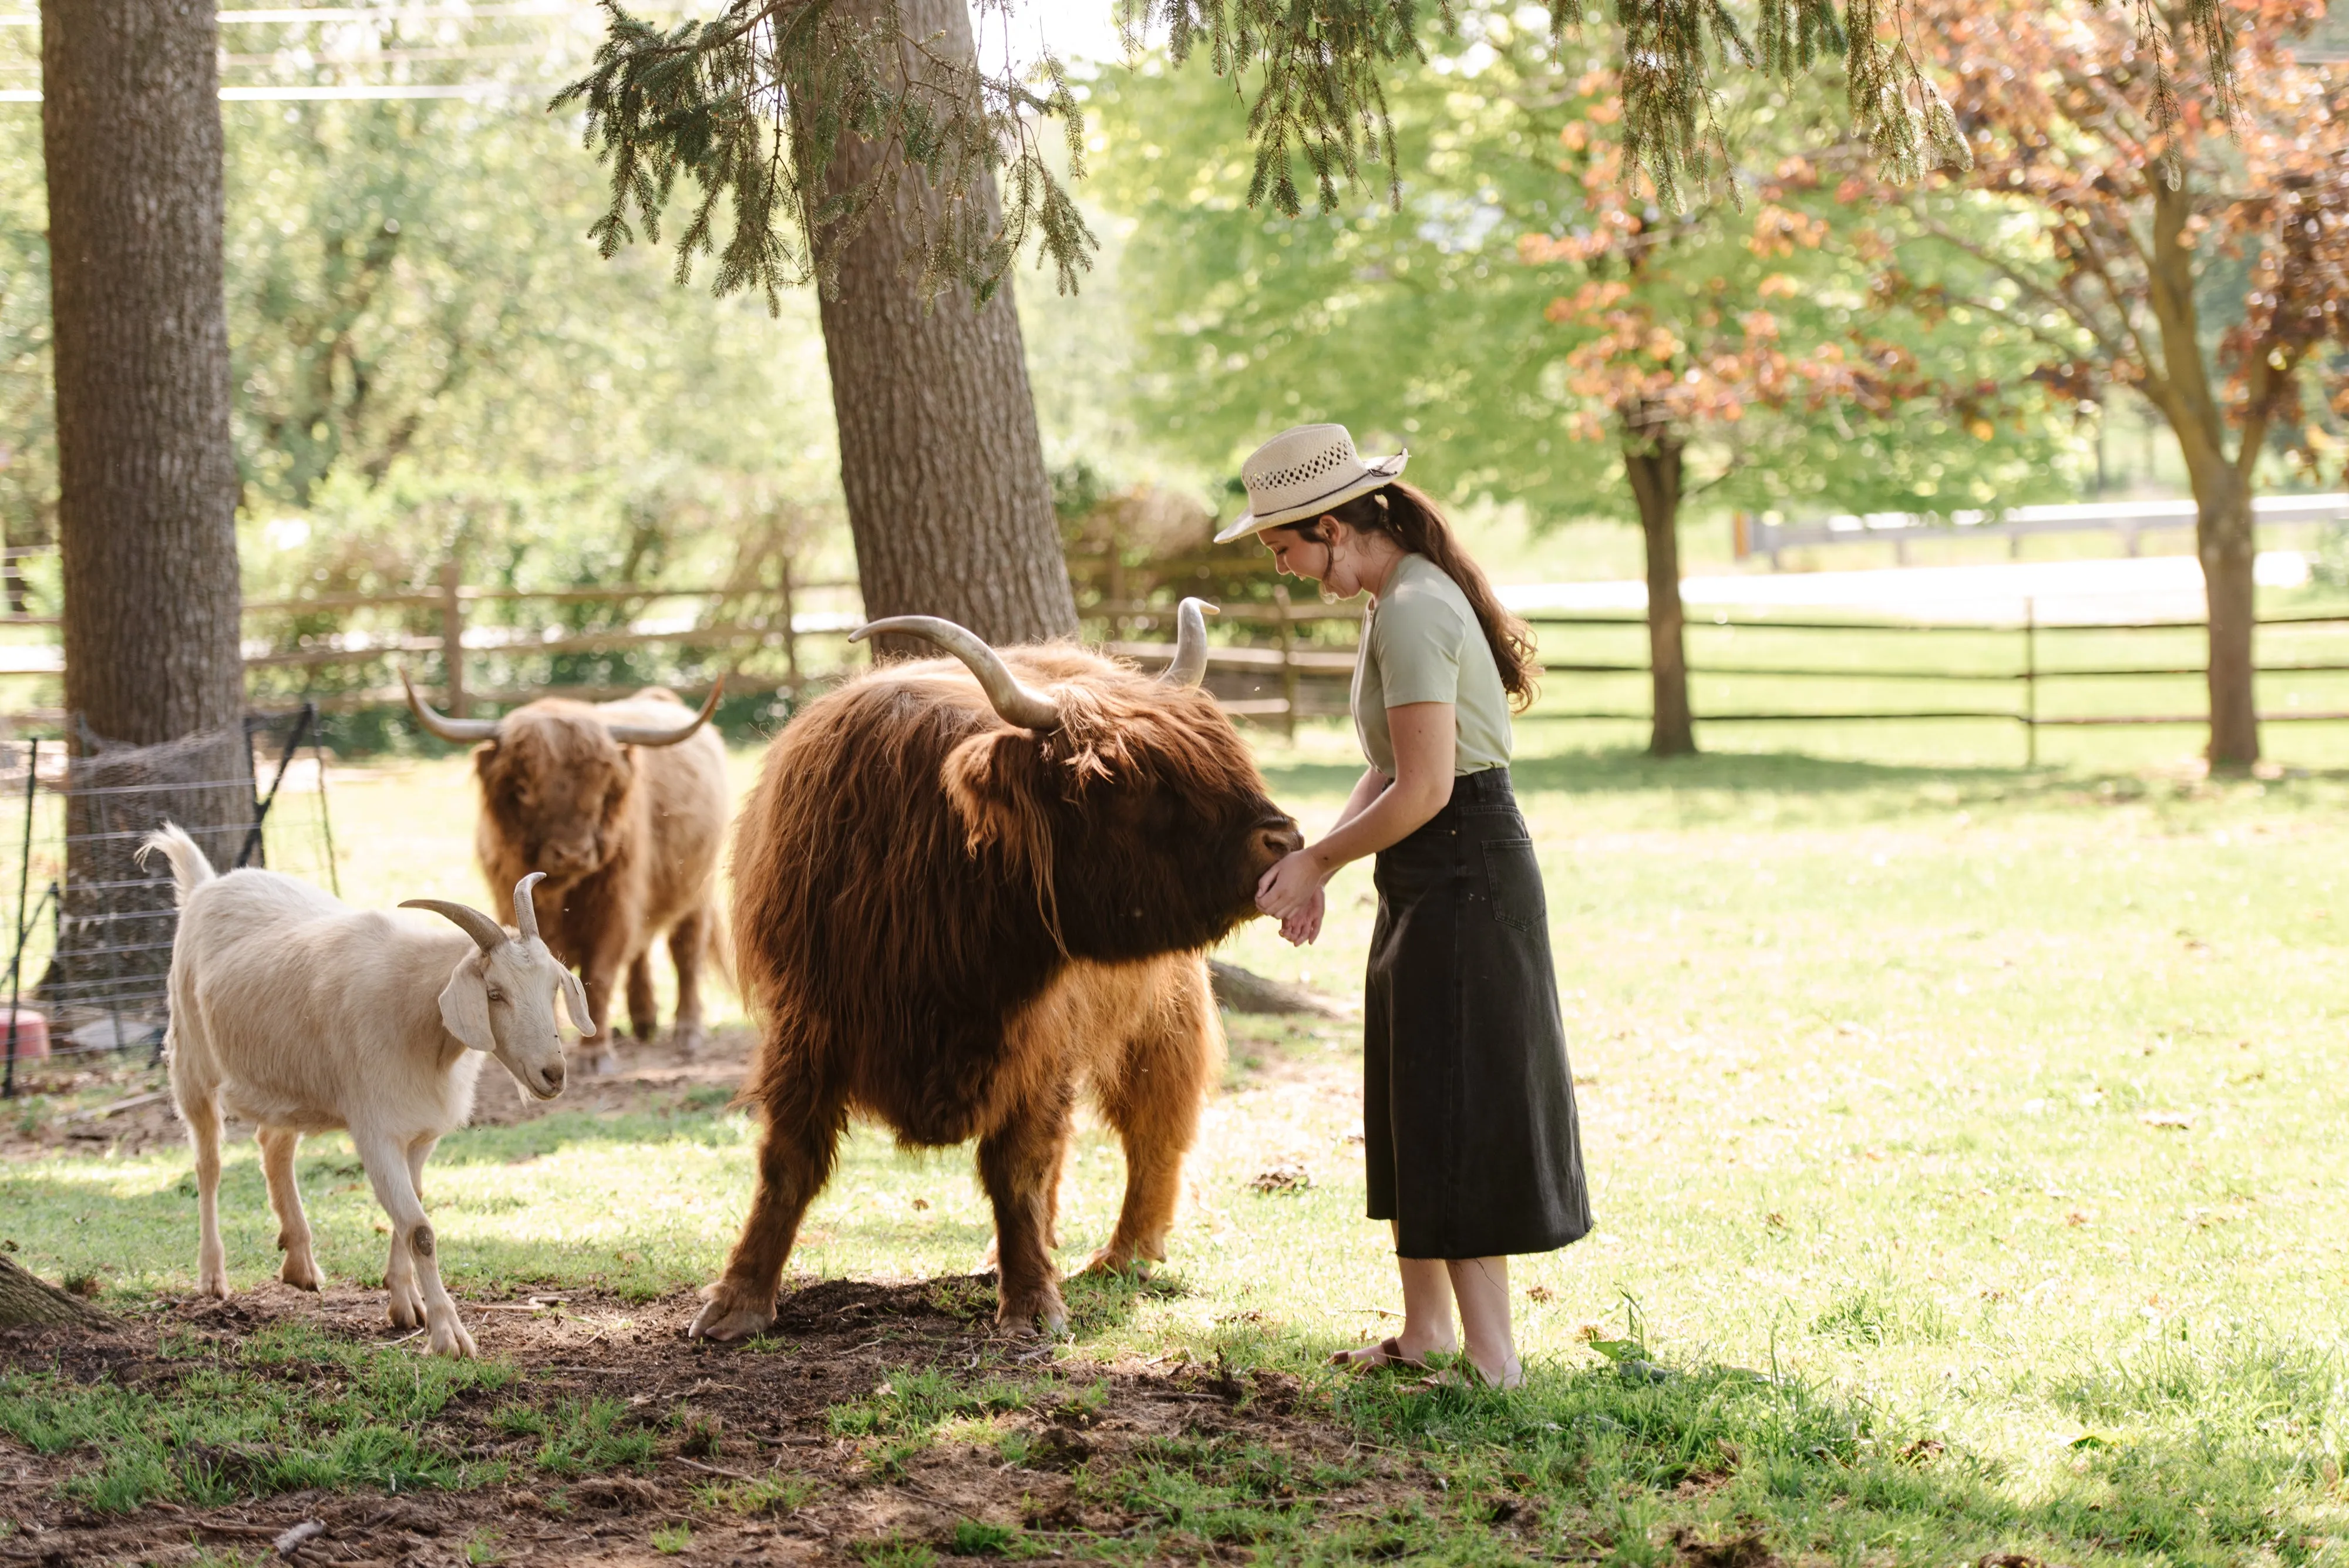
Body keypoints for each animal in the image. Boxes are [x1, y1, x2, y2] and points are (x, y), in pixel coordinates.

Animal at [143, 826, 592, 1352]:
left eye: (552, 988)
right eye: (495, 993)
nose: (553, 1074)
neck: (420, 1022)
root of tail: (205, 884)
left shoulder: (419, 1132)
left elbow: (410, 1211)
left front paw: (406, 1305)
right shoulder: (375, 1130)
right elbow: (420, 1229)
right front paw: (449, 1335)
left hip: (287, 1081)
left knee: (274, 1146)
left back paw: (300, 1261)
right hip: (192, 1063)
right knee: (208, 1164)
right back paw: (213, 1276)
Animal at [404, 676, 728, 1065]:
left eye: (601, 787)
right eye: (522, 787)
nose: (573, 855)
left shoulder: (614, 911)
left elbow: (597, 977)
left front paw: (596, 1054)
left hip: (698, 893)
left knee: (687, 955)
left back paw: (688, 1034)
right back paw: (644, 1019)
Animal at [686, 601, 1306, 1333]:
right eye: (1128, 781)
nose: (1284, 838)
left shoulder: (1041, 1041)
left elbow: (1017, 1168)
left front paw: (1033, 1304)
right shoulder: (805, 1027)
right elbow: (788, 1163)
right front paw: (739, 1300)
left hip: (1158, 1012)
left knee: (1154, 1123)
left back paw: (1125, 1252)